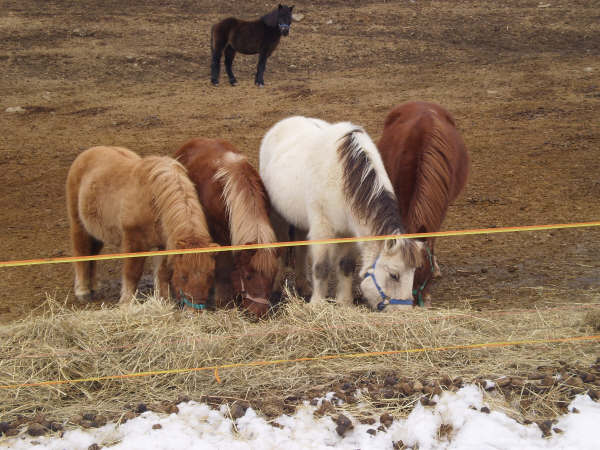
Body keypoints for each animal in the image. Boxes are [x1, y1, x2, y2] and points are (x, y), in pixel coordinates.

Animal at [65, 146, 218, 308]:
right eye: (183, 276)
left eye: (210, 275)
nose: (196, 309)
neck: (155, 199)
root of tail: (88, 153)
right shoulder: (134, 241)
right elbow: (132, 273)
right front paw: (126, 302)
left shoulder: (163, 244)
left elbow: (162, 273)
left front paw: (163, 300)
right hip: (78, 224)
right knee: (81, 250)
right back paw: (83, 291)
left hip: (96, 230)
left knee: (92, 254)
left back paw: (93, 286)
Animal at [171, 137, 278, 316]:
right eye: (248, 276)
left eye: (273, 276)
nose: (258, 313)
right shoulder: (219, 236)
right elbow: (223, 267)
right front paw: (224, 301)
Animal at [258, 116, 422, 312]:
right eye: (394, 275)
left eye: (413, 273)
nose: (404, 312)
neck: (342, 178)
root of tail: (282, 124)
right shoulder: (322, 229)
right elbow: (321, 267)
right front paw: (317, 304)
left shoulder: (350, 231)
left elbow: (346, 265)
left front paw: (344, 302)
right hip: (279, 217)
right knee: (282, 250)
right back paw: (276, 290)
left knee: (301, 248)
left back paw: (303, 287)